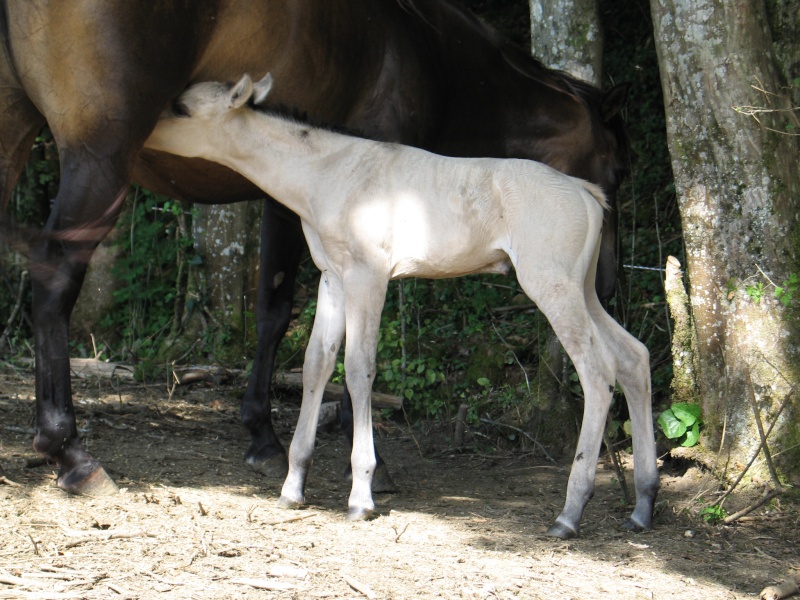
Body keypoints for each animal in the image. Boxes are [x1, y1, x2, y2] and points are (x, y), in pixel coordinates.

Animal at [147, 75, 660, 540]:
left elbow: (359, 368)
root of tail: (587, 194)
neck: (330, 174)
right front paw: (293, 487)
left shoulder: (369, 277)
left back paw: (570, 513)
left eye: (181, 108)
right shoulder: (333, 279)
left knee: (598, 373)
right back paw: (642, 505)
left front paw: (361, 496)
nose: (144, 137)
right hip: (582, 289)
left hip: (552, 286)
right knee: (633, 357)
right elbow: (316, 365)